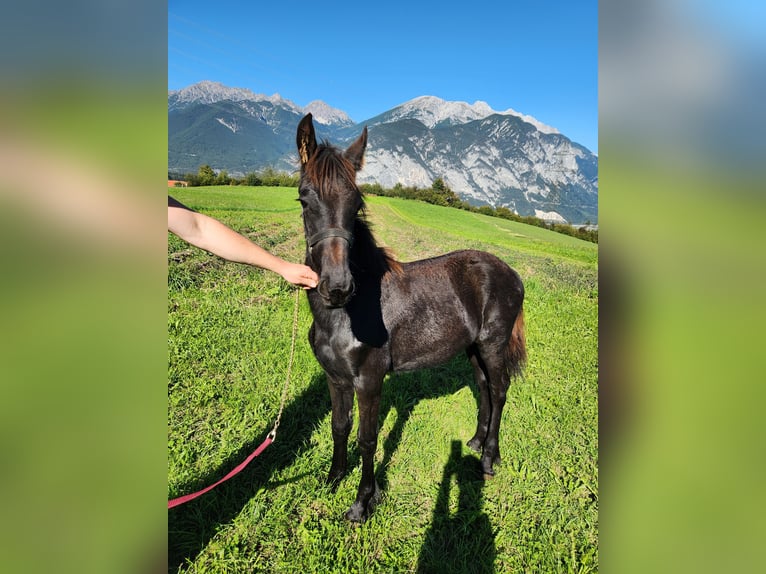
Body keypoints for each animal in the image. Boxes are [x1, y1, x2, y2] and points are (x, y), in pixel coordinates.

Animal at [296, 113, 526, 522]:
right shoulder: (335, 378)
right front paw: (333, 479)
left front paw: (362, 504)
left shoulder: (369, 382)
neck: (344, 317)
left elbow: (367, 439)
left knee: (499, 390)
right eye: (304, 198)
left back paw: (489, 458)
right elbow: (339, 428)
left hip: (493, 344)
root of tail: (512, 274)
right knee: (483, 386)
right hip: (473, 349)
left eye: (356, 202)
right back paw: (475, 441)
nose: (337, 287)